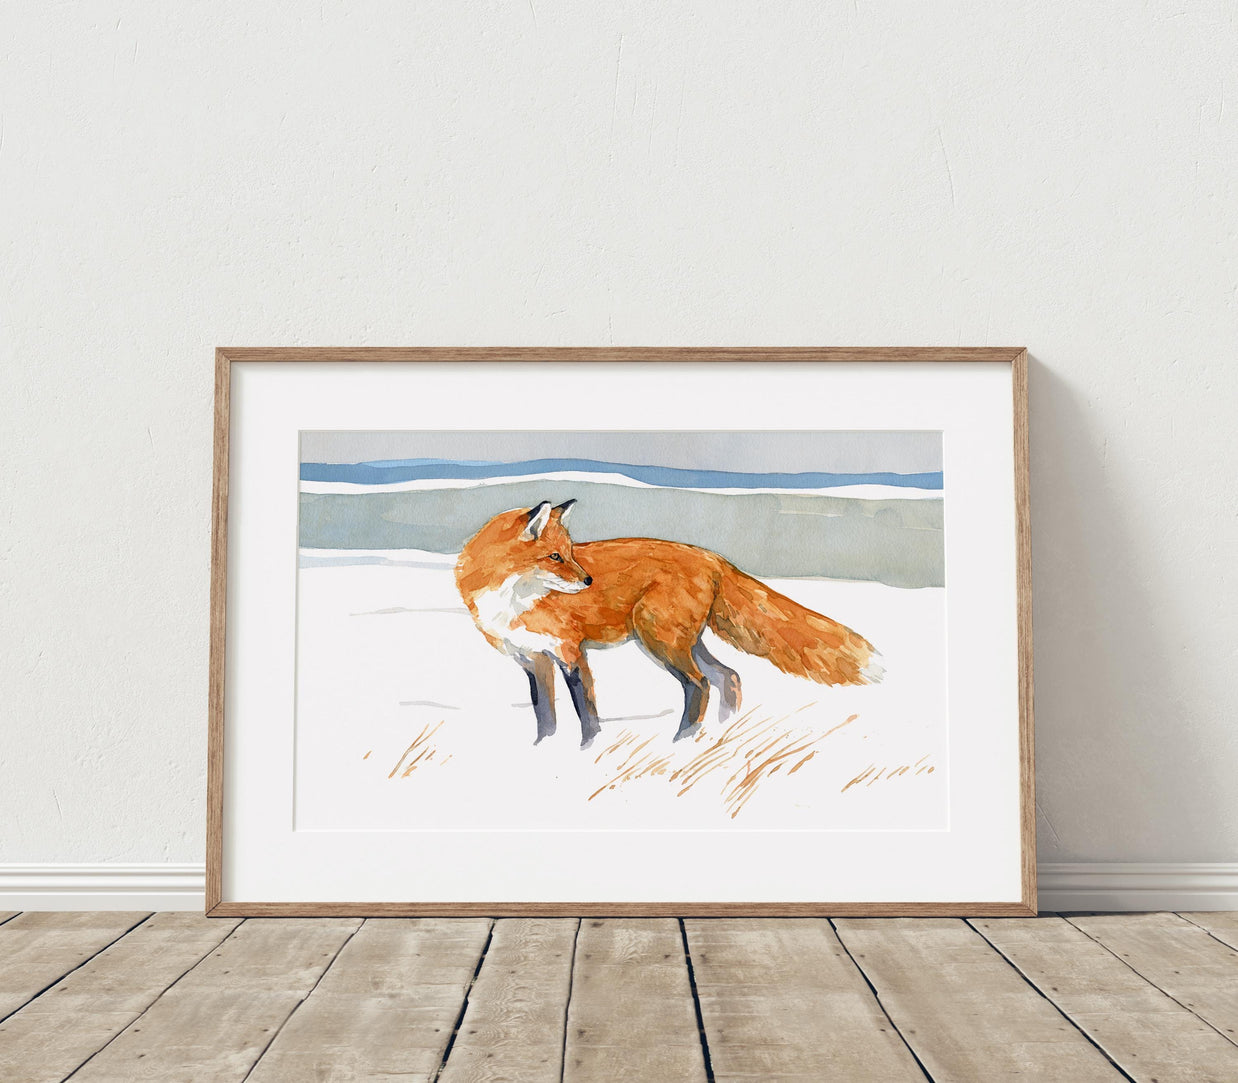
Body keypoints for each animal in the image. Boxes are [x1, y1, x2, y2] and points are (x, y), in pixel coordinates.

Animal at [454, 500, 883, 748]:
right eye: (555, 556)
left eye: (571, 552)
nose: (589, 581)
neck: (513, 601)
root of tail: (712, 556)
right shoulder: (533, 660)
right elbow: (545, 715)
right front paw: (542, 752)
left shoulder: (571, 654)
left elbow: (587, 715)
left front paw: (587, 752)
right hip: (682, 642)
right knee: (729, 676)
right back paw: (721, 732)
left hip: (660, 642)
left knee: (701, 684)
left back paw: (681, 742)